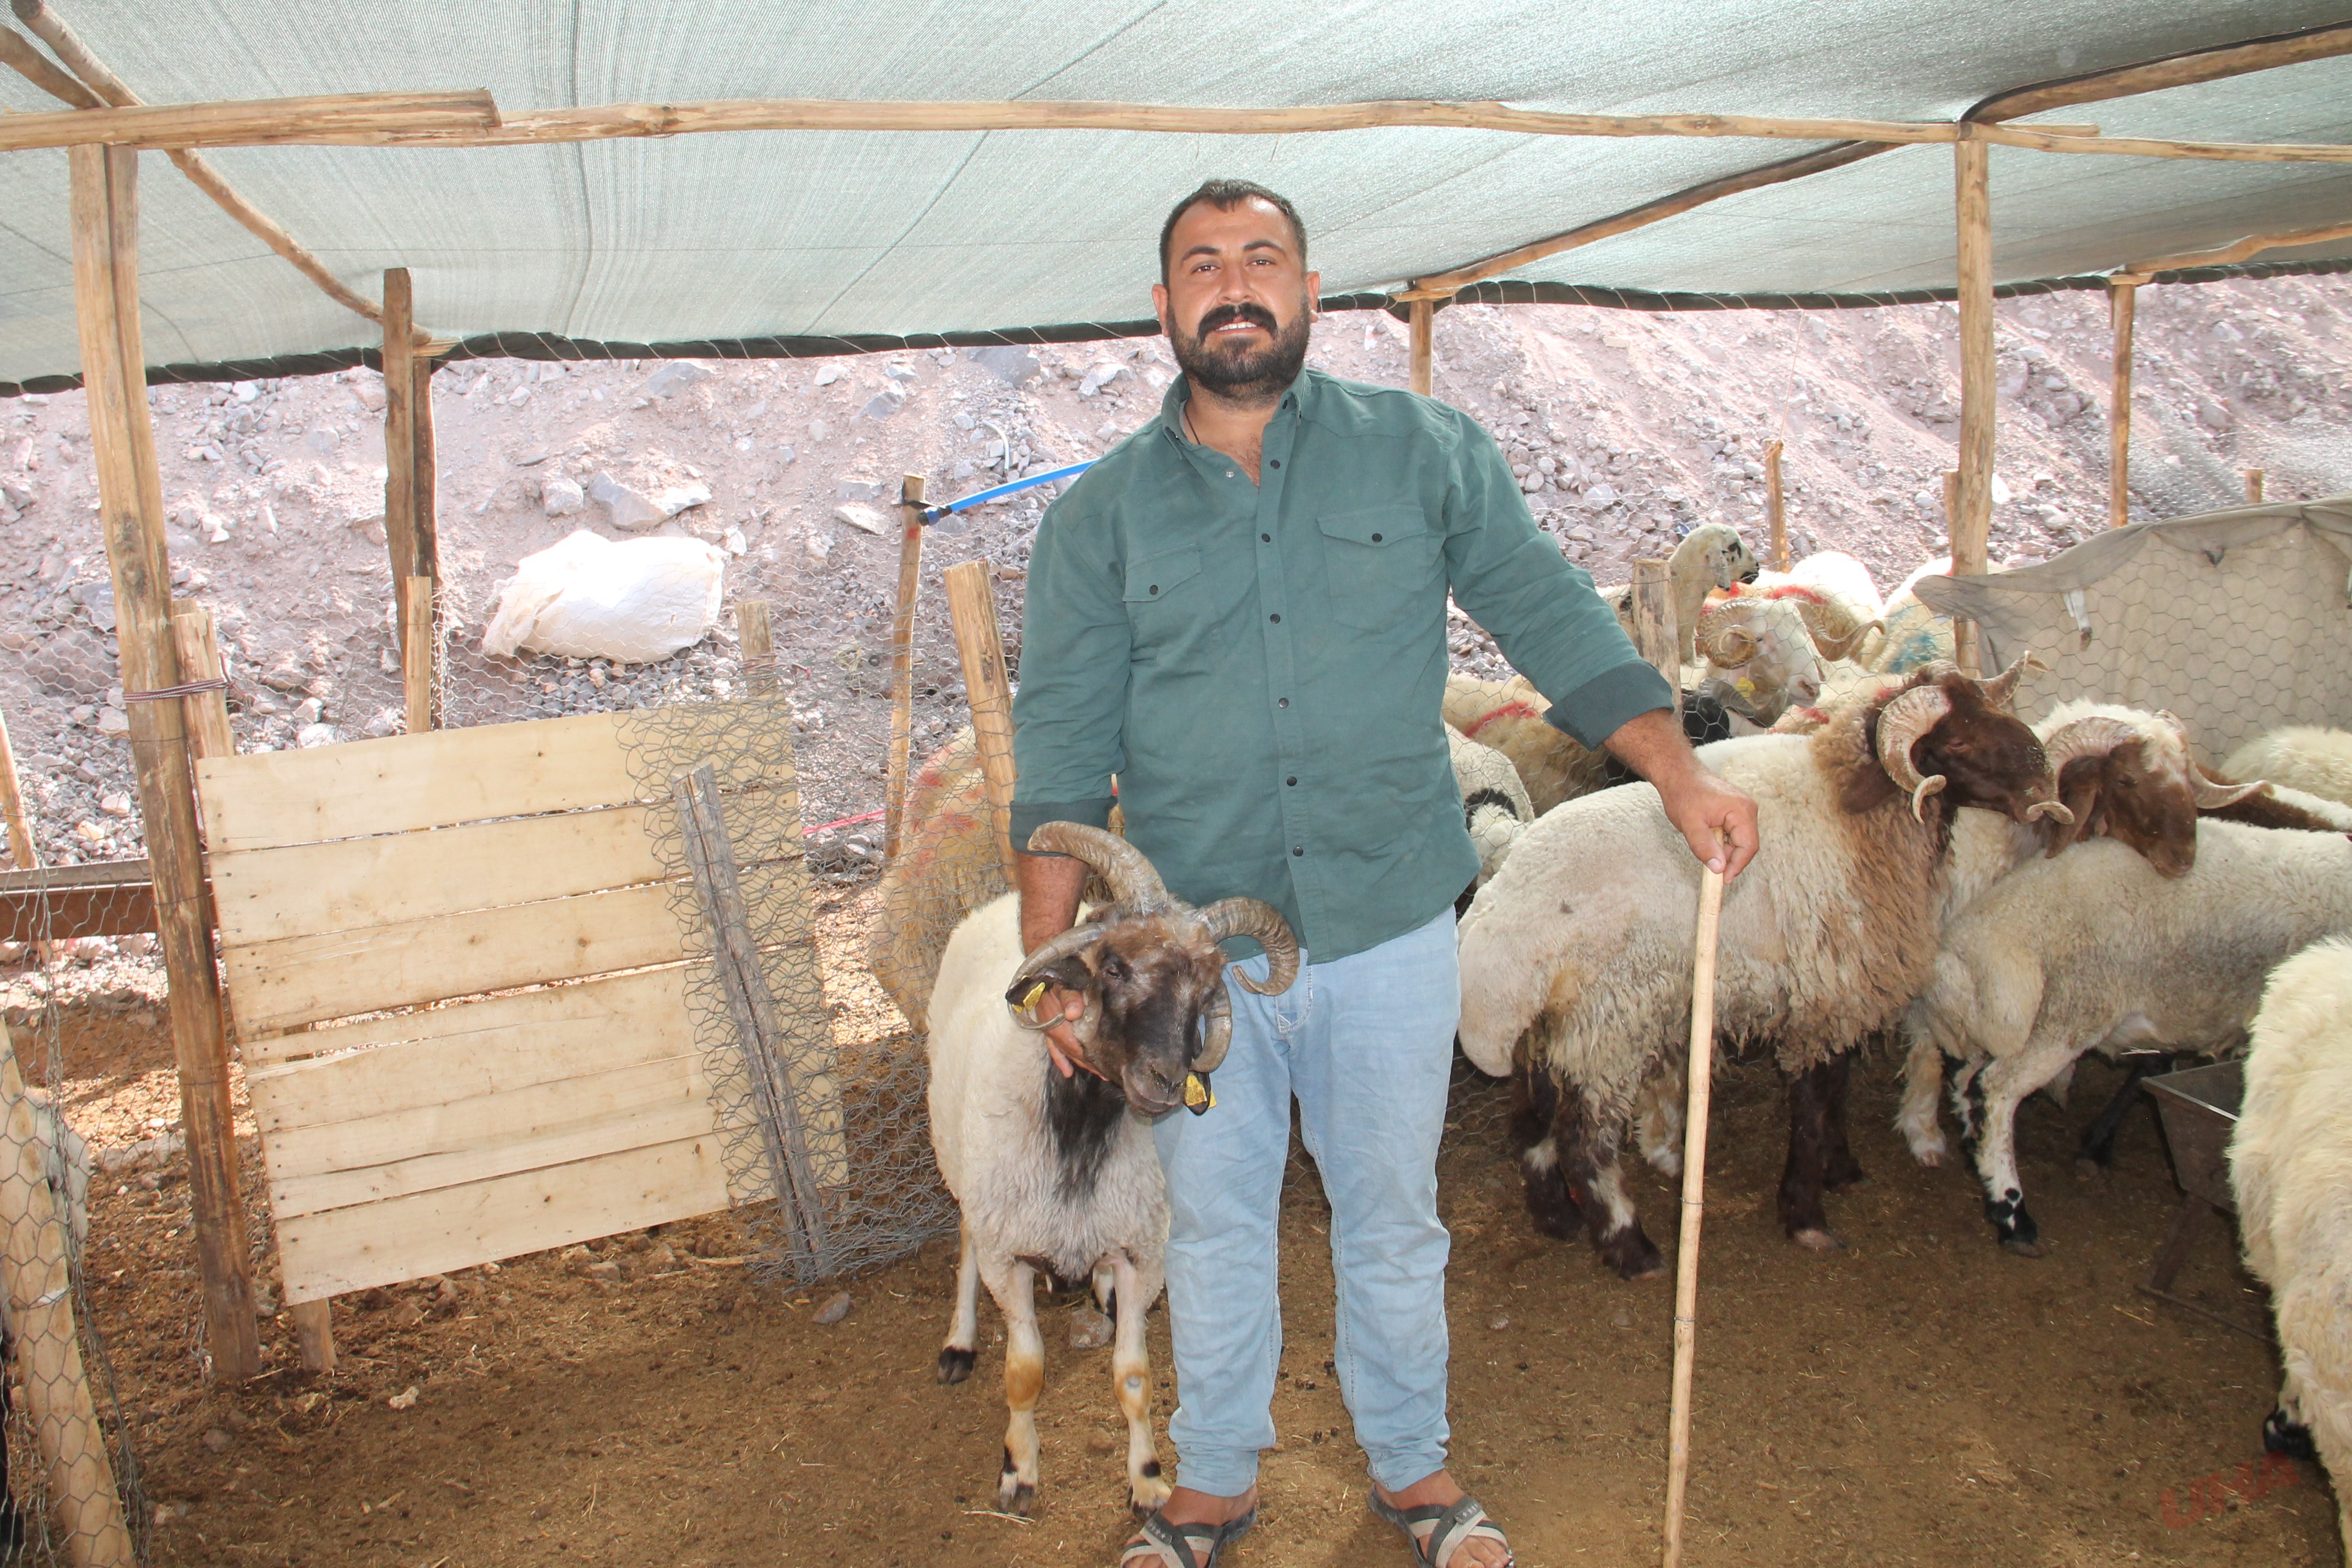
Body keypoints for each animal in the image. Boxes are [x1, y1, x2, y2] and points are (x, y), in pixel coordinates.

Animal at [917, 823, 1298, 1523]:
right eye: (1115, 965)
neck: (1080, 1133)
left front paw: (1147, 1480)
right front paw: (1019, 1472)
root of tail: (1000, 900)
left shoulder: (1141, 1252)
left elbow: (1133, 1377)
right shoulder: (1009, 1255)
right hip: (960, 1163)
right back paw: (958, 1343)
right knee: (964, 1239)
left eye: (1207, 992)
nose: (1166, 1080)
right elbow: (1024, 1372)